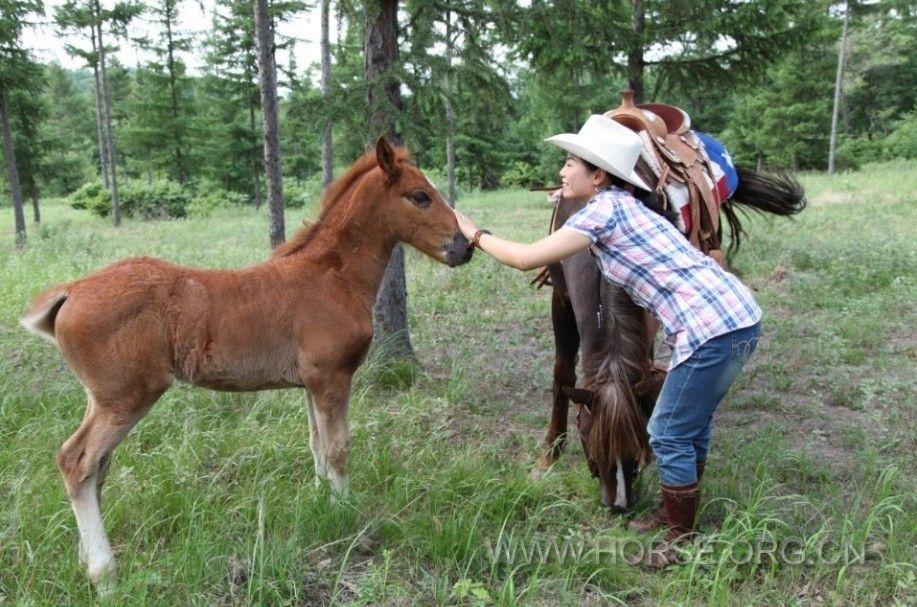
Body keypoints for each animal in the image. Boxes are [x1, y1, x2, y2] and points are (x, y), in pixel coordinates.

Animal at [21, 139, 472, 592]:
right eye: (420, 195)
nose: (464, 247)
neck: (333, 277)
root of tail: (71, 291)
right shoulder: (333, 377)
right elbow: (339, 448)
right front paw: (347, 520)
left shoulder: (311, 383)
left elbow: (317, 447)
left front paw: (323, 508)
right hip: (127, 397)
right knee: (77, 461)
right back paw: (105, 575)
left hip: (101, 398)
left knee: (97, 467)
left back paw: (84, 562)